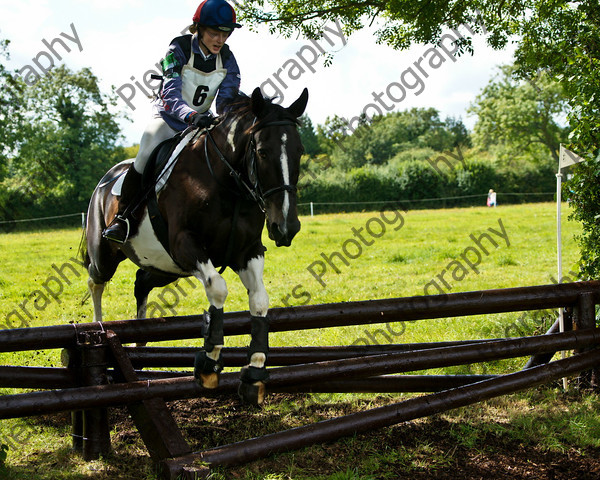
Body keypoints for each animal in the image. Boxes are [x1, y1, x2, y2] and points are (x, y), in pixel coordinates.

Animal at [83, 88, 310, 404]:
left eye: (299, 151)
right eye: (263, 151)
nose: (286, 227)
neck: (227, 184)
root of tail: (105, 181)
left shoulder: (247, 251)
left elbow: (260, 301)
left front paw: (255, 371)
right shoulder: (186, 246)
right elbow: (218, 289)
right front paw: (209, 363)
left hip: (165, 267)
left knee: (141, 282)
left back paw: (140, 342)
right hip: (107, 254)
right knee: (96, 281)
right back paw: (99, 328)